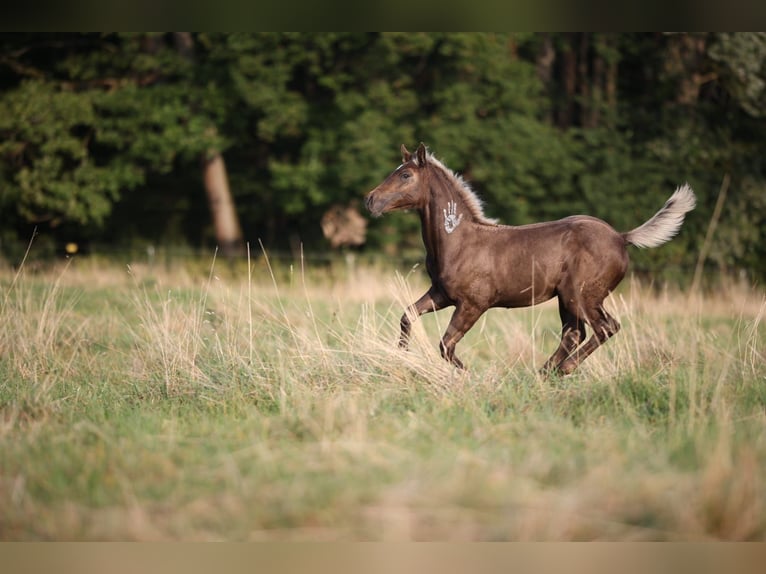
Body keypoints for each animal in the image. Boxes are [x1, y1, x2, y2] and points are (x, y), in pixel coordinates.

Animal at [364, 144, 696, 378]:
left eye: (405, 175)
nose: (370, 200)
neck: (458, 240)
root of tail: (621, 237)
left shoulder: (473, 304)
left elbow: (446, 344)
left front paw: (470, 374)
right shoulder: (441, 294)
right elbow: (408, 315)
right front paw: (402, 356)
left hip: (582, 296)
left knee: (605, 328)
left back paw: (562, 370)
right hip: (567, 299)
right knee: (575, 333)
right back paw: (545, 372)